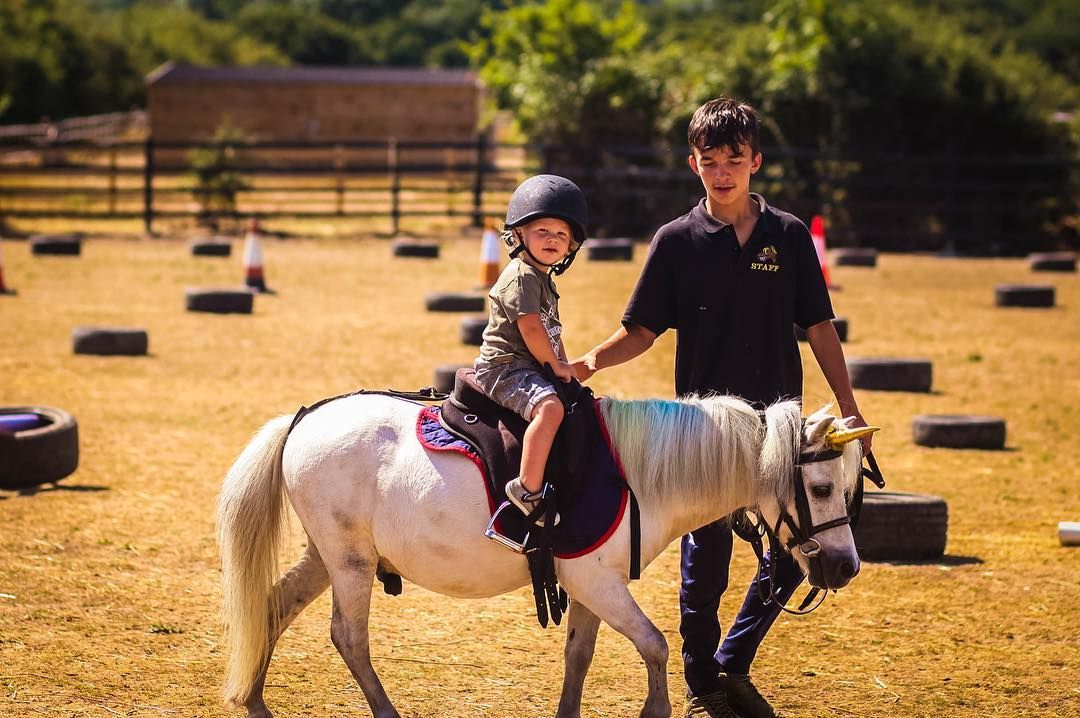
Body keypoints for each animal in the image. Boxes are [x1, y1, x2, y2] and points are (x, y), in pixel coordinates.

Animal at [216, 391, 877, 718]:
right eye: (820, 488)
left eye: (850, 489)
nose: (846, 567)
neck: (634, 472)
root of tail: (303, 419)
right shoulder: (598, 582)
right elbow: (656, 645)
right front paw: (656, 709)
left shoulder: (587, 586)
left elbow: (580, 656)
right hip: (349, 562)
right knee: (349, 637)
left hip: (325, 557)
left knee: (272, 607)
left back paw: (254, 701)